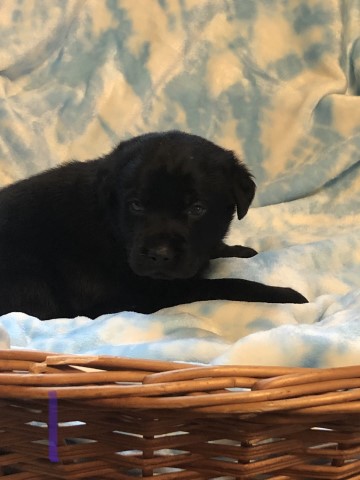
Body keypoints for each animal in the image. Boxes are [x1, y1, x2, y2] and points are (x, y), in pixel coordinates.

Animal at [0, 131, 306, 318]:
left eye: (197, 209)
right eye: (136, 205)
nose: (159, 255)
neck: (113, 228)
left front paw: (239, 250)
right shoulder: (150, 293)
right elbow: (227, 284)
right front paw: (285, 294)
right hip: (32, 282)